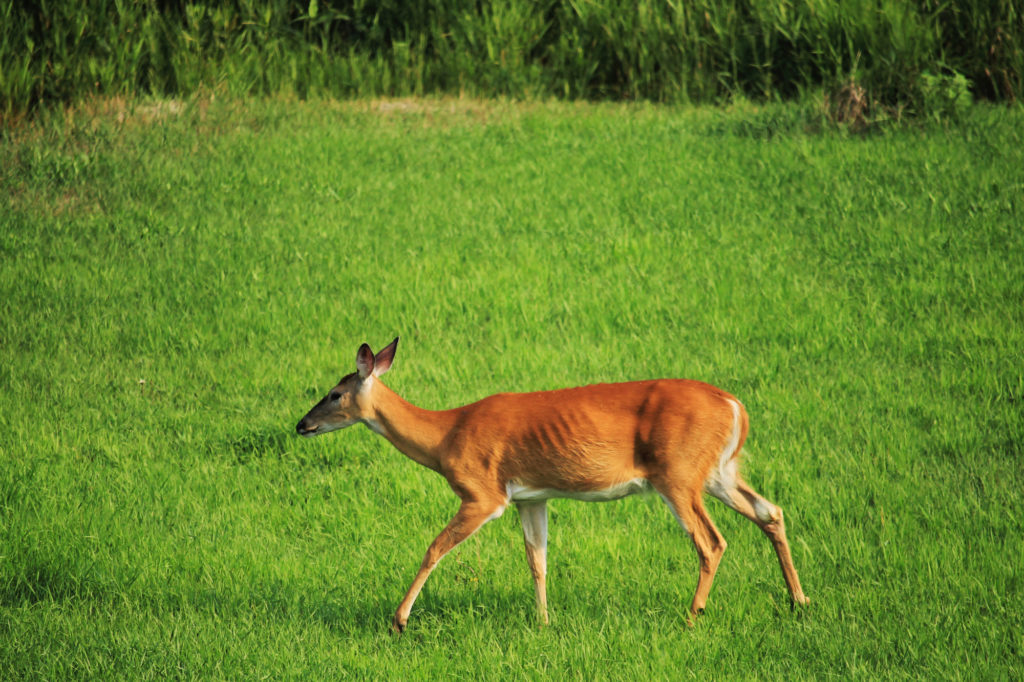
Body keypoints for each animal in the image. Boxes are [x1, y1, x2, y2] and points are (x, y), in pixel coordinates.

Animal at [295, 337, 809, 633]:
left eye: (334, 394)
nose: (301, 424)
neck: (446, 435)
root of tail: (735, 405)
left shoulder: (483, 493)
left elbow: (434, 548)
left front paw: (399, 620)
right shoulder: (531, 497)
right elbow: (537, 560)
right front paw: (544, 622)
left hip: (678, 474)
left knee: (712, 540)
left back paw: (692, 617)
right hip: (720, 470)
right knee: (770, 511)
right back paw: (798, 601)